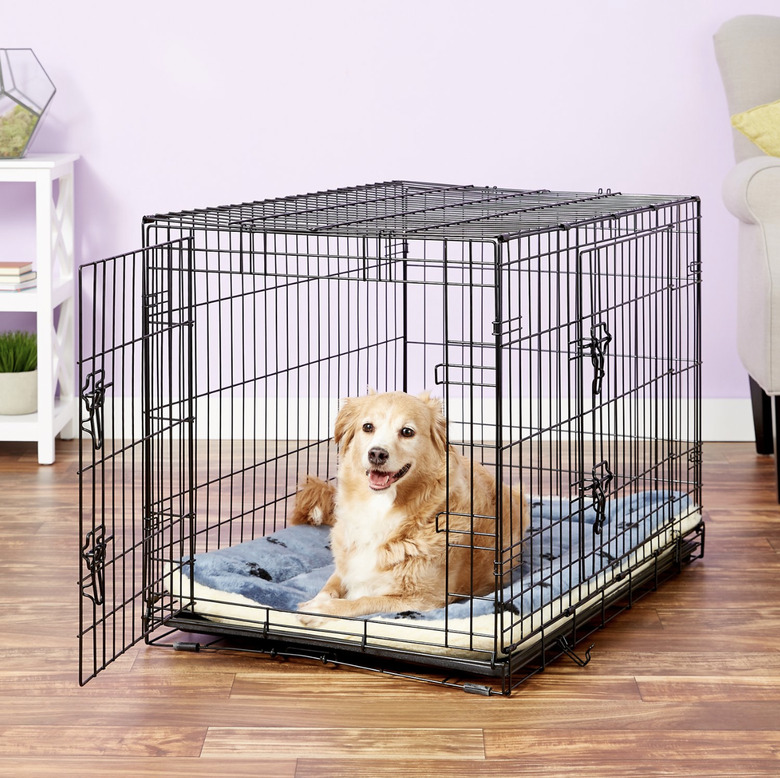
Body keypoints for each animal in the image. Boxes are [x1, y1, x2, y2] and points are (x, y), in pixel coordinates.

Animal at [294, 392, 532, 620]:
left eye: (407, 432)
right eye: (368, 427)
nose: (377, 453)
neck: (381, 509)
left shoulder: (423, 599)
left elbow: (362, 601)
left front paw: (320, 610)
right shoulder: (346, 566)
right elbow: (330, 586)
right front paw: (314, 601)